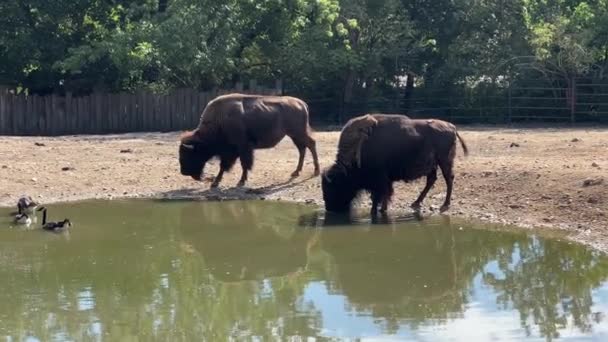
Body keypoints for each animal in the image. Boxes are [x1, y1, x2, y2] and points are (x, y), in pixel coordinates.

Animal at [178, 93, 320, 187]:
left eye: (188, 154)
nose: (183, 172)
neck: (219, 121)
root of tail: (302, 103)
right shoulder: (232, 151)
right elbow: (225, 166)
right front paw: (216, 182)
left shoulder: (242, 147)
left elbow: (242, 164)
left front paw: (241, 181)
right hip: (294, 135)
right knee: (302, 149)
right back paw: (296, 172)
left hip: (298, 133)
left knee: (311, 144)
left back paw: (316, 171)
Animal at [320, 113, 468, 215]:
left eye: (333, 187)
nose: (330, 209)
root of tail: (452, 127)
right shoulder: (385, 180)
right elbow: (383, 196)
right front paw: (382, 210)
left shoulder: (379, 180)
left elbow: (379, 197)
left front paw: (377, 211)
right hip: (433, 165)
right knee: (432, 180)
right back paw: (416, 203)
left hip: (444, 161)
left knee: (448, 179)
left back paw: (444, 205)